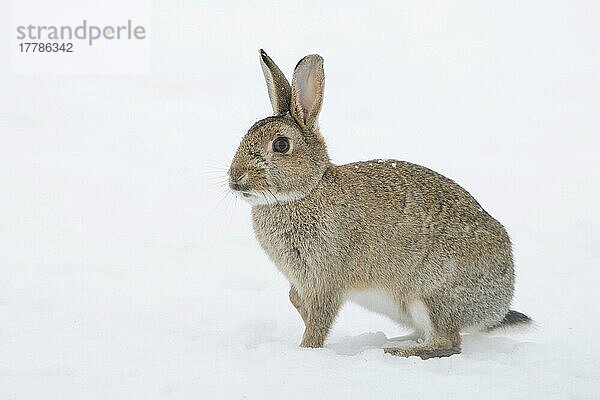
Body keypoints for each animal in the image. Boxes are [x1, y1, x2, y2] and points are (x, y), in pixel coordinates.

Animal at [229, 49, 528, 360]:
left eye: (281, 145)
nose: (235, 178)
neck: (305, 191)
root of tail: (498, 305)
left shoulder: (326, 281)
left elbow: (320, 322)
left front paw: (306, 350)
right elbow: (295, 300)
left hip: (430, 294)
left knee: (448, 342)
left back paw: (395, 351)